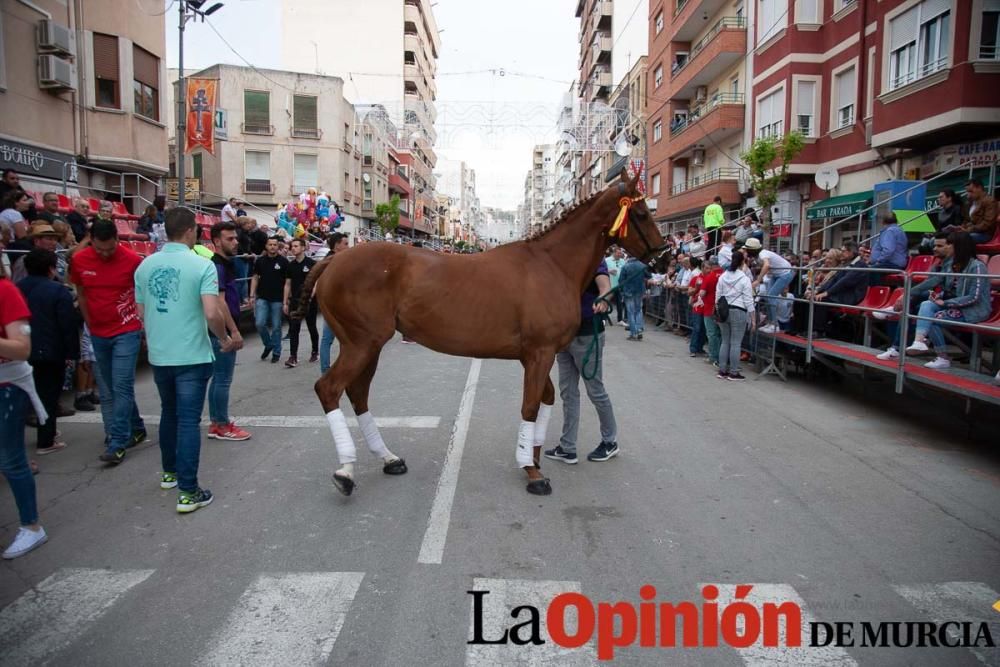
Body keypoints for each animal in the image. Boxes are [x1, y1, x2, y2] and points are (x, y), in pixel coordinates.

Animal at [302, 172, 664, 496]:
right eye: (642, 214)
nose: (664, 257)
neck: (551, 265)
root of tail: (334, 261)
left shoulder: (534, 357)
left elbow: (545, 399)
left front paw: (532, 457)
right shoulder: (540, 353)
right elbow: (530, 406)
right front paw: (532, 472)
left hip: (369, 347)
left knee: (358, 394)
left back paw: (388, 458)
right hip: (361, 345)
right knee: (330, 389)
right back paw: (346, 471)